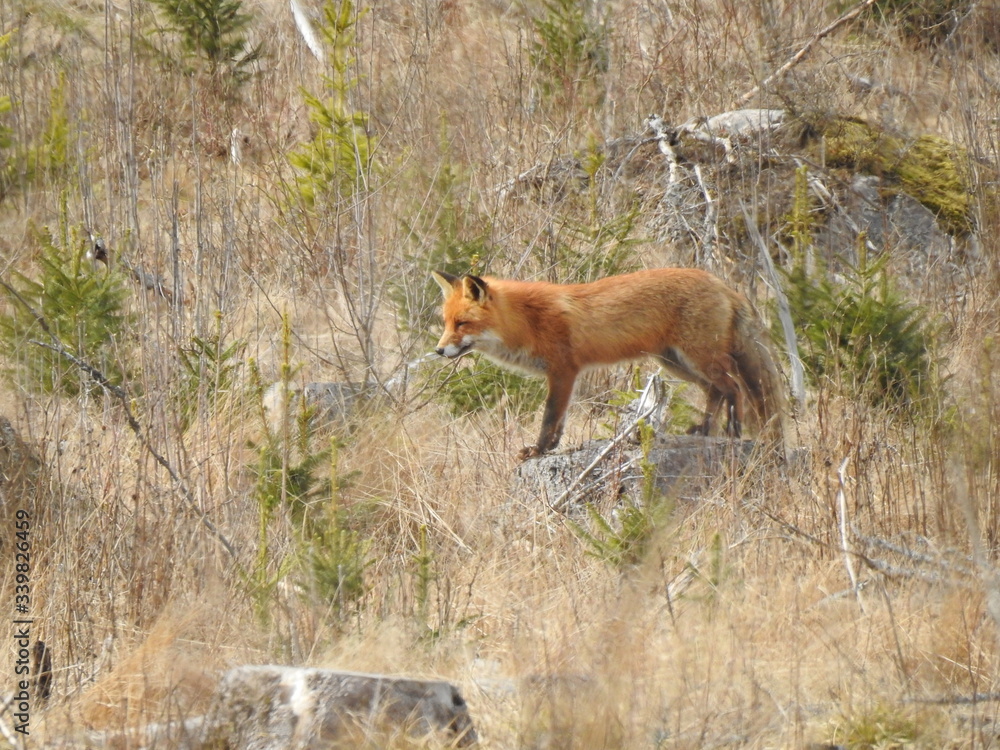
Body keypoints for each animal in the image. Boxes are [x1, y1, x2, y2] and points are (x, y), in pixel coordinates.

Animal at [432, 268, 785, 461]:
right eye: (446, 323)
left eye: (462, 323)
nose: (438, 350)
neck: (526, 320)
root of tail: (721, 283)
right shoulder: (564, 376)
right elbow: (560, 422)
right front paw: (551, 447)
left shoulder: (563, 370)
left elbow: (550, 417)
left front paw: (539, 449)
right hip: (676, 362)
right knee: (716, 390)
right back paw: (704, 430)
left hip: (699, 357)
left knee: (733, 387)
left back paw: (732, 431)